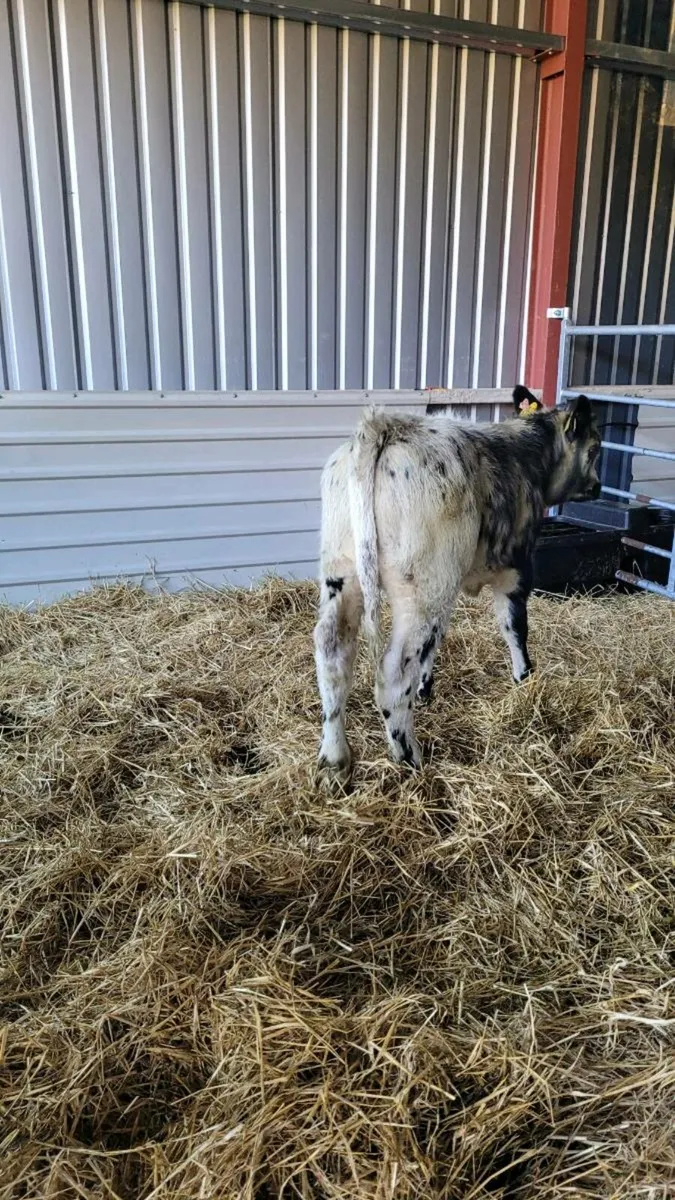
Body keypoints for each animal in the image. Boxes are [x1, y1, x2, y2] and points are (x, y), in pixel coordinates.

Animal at [313, 386, 602, 787]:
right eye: (595, 448)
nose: (597, 485)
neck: (527, 455)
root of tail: (384, 426)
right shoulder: (516, 569)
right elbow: (515, 628)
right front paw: (525, 681)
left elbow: (436, 645)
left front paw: (426, 688)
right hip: (420, 593)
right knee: (393, 673)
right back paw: (409, 758)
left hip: (345, 576)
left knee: (333, 654)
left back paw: (334, 761)